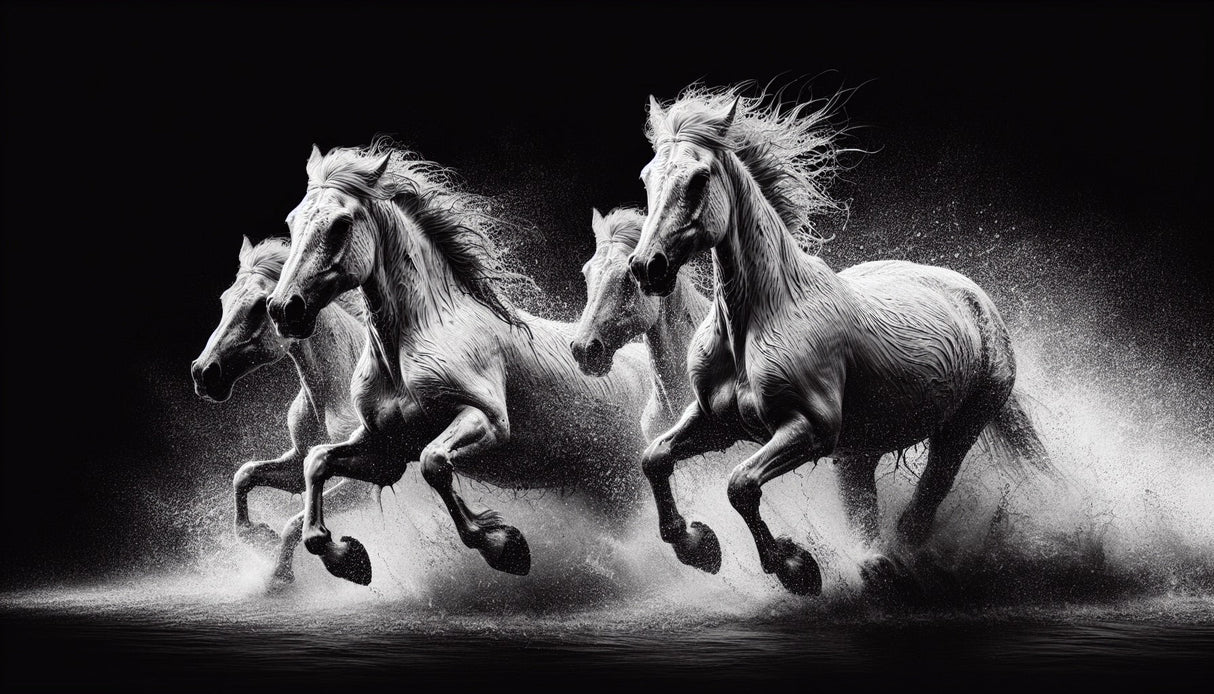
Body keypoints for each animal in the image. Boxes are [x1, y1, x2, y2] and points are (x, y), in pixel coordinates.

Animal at [191, 236, 369, 581]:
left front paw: (285, 576)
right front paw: (256, 535)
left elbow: (296, 523)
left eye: (262, 305)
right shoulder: (300, 460)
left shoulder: (363, 481)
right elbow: (245, 474)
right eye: (224, 299)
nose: (203, 373)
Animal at [264, 142, 652, 586]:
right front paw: (345, 556)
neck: (423, 332)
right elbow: (316, 461)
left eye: (341, 224)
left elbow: (434, 463)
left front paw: (505, 546)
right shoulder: (386, 452)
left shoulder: (487, 421)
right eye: (292, 222)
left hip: (627, 486)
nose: (283, 309)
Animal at [626, 85, 1054, 595]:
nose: (646, 267)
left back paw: (897, 564)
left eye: (699, 178)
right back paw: (876, 563)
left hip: (959, 429)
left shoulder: (811, 429)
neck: (761, 318)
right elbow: (655, 458)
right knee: (867, 509)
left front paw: (795, 567)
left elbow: (740, 484)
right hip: (858, 451)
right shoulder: (717, 422)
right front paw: (697, 545)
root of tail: (980, 301)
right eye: (647, 177)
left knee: (925, 501)